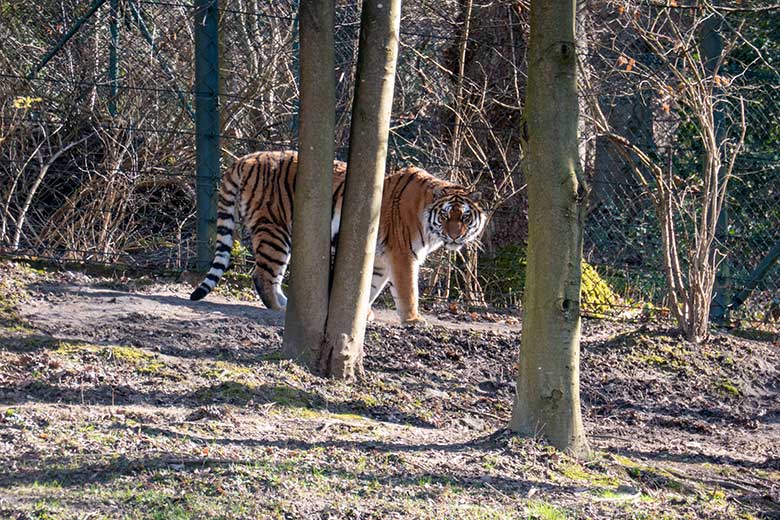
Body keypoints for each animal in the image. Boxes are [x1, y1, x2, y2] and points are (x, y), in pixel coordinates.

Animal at [189, 148, 484, 322]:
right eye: (446, 216)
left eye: (465, 217)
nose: (455, 236)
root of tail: (246, 158)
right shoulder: (403, 255)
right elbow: (408, 289)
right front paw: (413, 320)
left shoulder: (381, 258)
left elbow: (371, 287)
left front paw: (360, 314)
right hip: (276, 231)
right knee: (262, 275)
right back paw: (279, 309)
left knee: (270, 276)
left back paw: (286, 304)